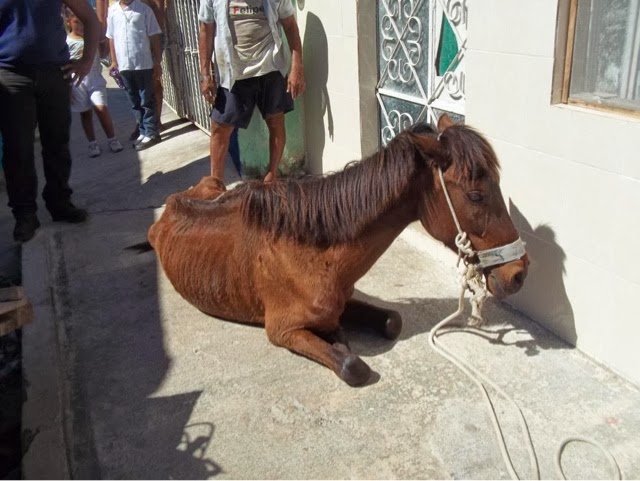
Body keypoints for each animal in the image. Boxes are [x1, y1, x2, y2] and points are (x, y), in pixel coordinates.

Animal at [149, 114, 528, 384]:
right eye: (476, 195)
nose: (519, 274)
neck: (311, 253)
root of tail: (171, 204)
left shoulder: (344, 303)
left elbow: (391, 321)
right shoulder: (284, 331)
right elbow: (351, 365)